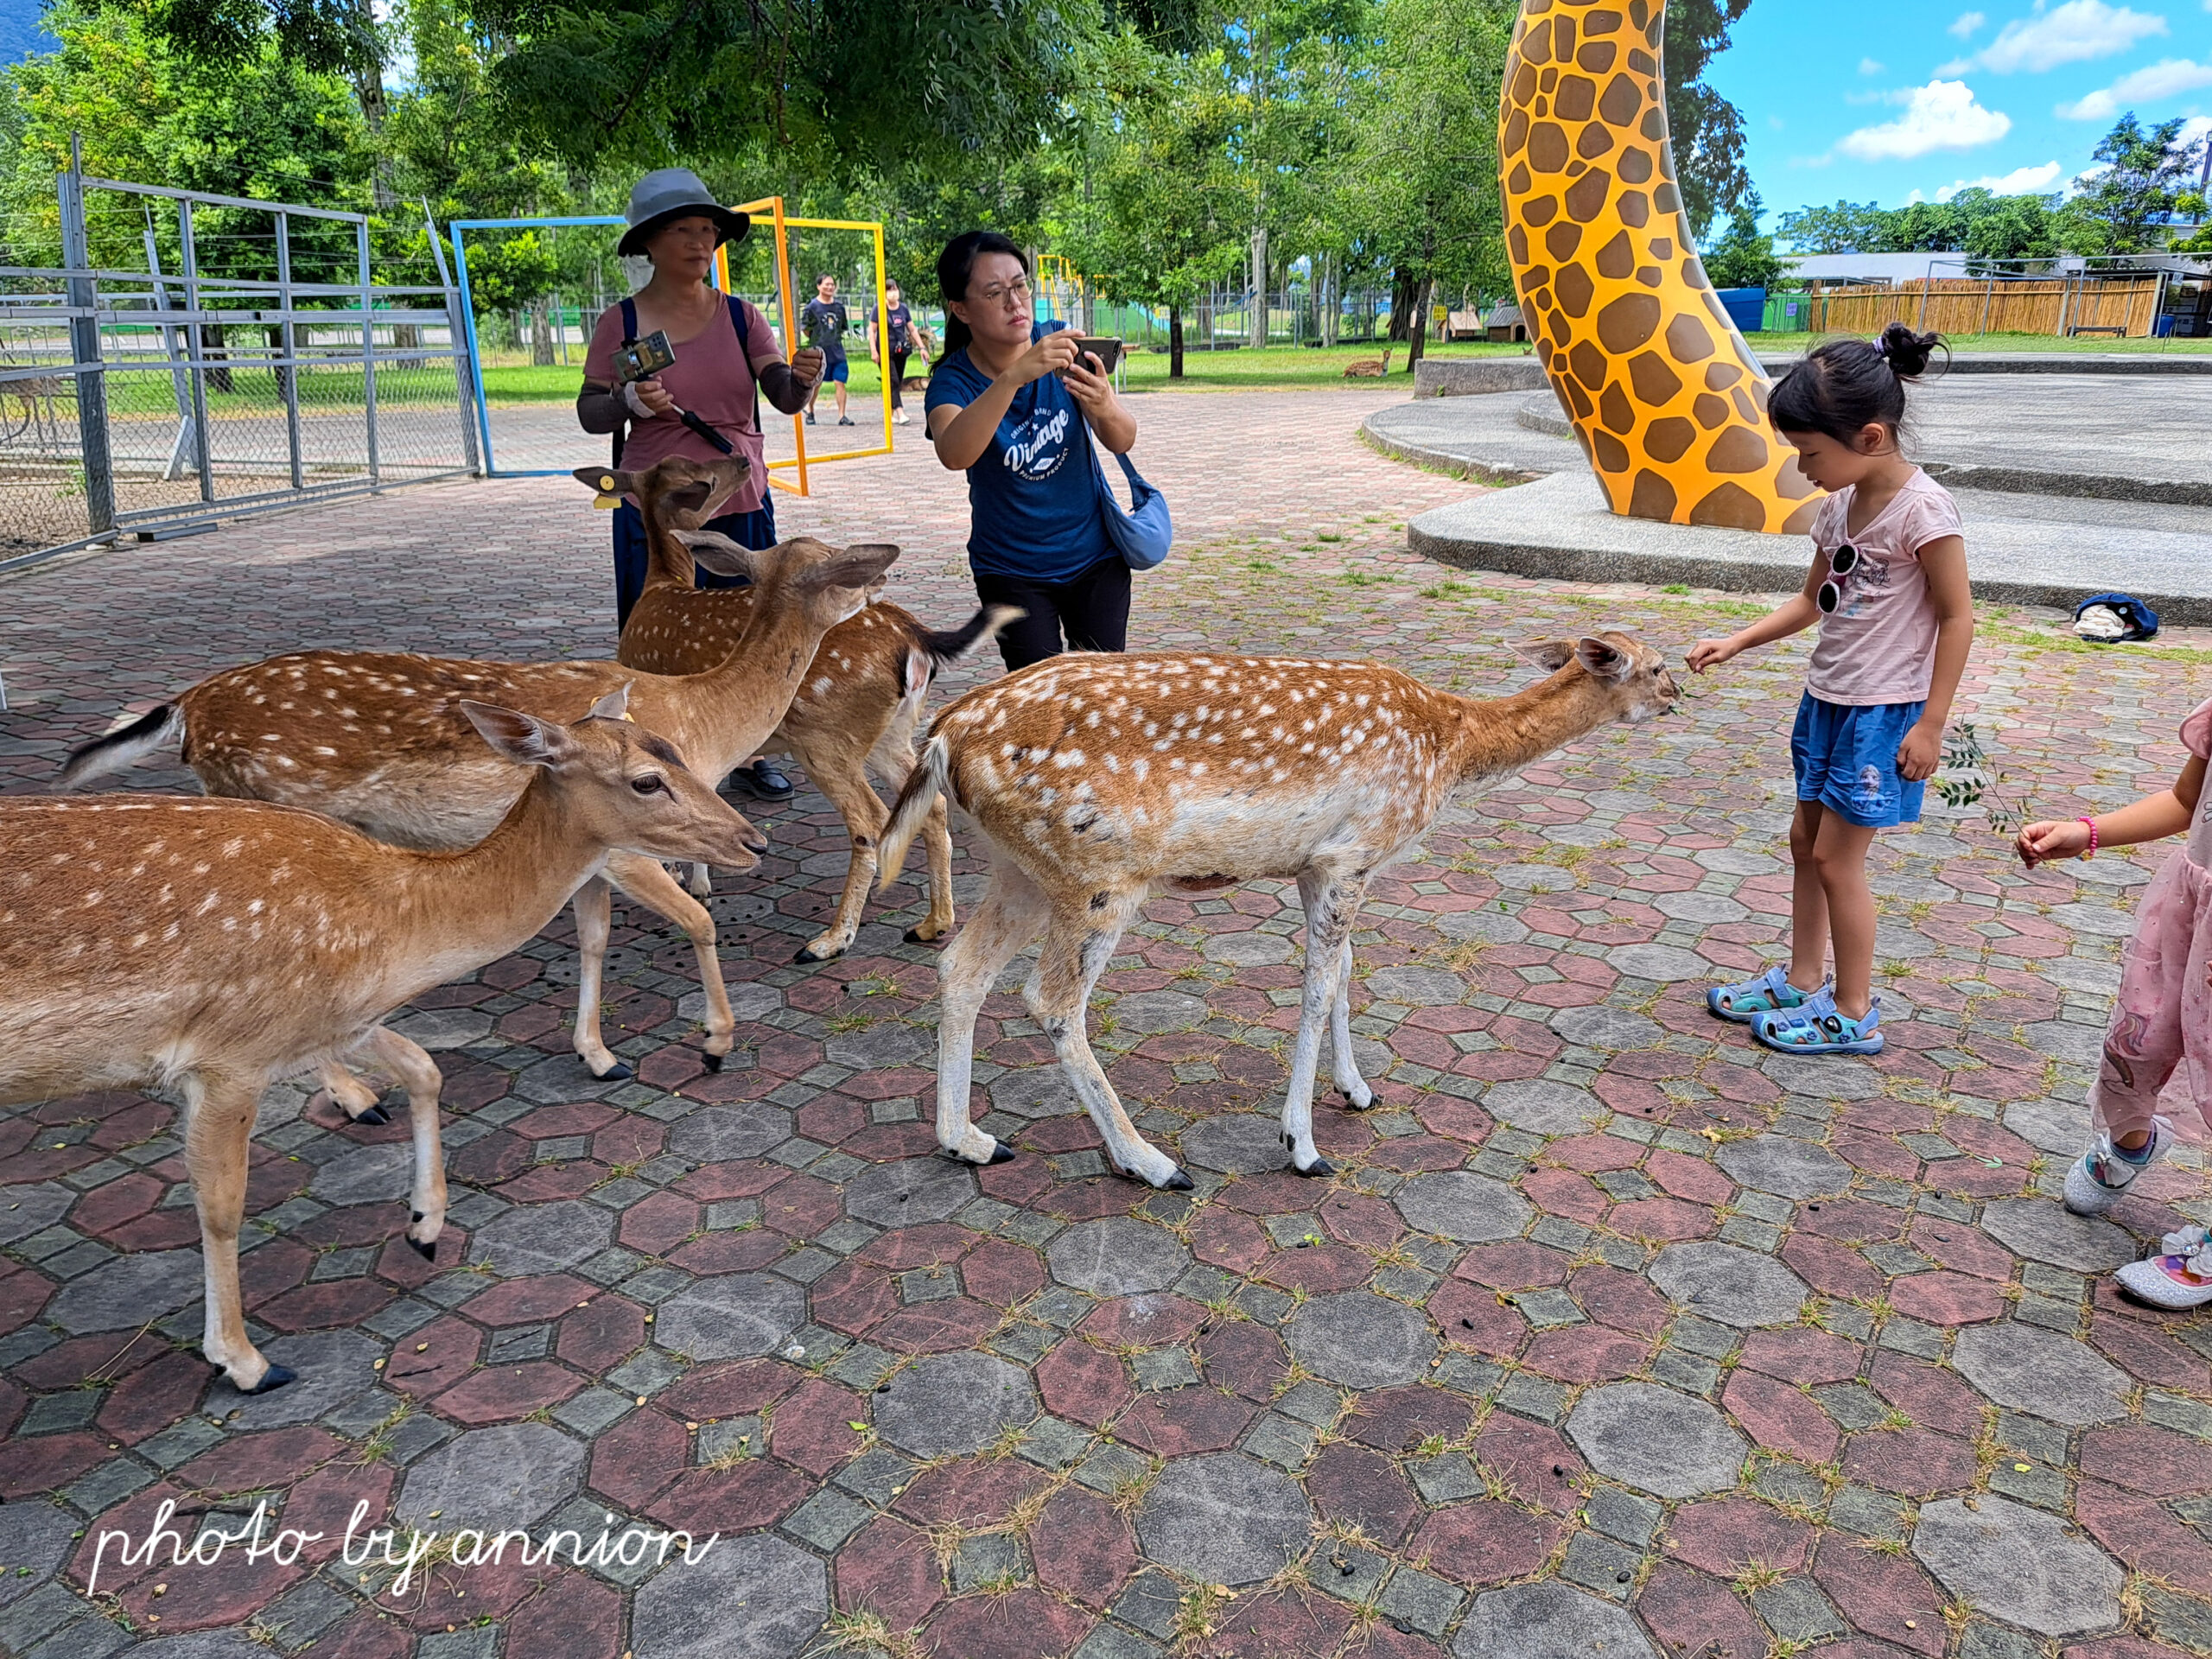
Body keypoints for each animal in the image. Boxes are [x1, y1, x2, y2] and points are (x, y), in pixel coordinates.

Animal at [6, 694, 760, 1397]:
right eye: (646, 780)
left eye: (677, 753)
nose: (752, 840)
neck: (392, 927)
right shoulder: (228, 1055)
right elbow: (220, 1208)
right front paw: (246, 1362)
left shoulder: (335, 1020)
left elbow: (424, 1068)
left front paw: (423, 1227)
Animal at [69, 526, 898, 1092]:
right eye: (843, 568)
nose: (885, 585)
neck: (708, 718)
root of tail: (187, 708)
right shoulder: (630, 843)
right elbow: (698, 919)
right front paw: (716, 1043)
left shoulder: (589, 854)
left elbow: (593, 940)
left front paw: (599, 1056)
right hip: (265, 804)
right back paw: (357, 1098)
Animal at [875, 637, 1672, 1194]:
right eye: (1656, 666)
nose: (1682, 693)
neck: (1448, 749)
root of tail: (944, 737)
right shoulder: (1351, 855)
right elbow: (1318, 989)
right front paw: (1302, 1147)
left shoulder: (1317, 866)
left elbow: (1345, 971)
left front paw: (1357, 1091)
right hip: (1097, 874)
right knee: (1051, 999)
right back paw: (1151, 1162)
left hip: (1022, 870)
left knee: (962, 966)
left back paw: (971, 1141)